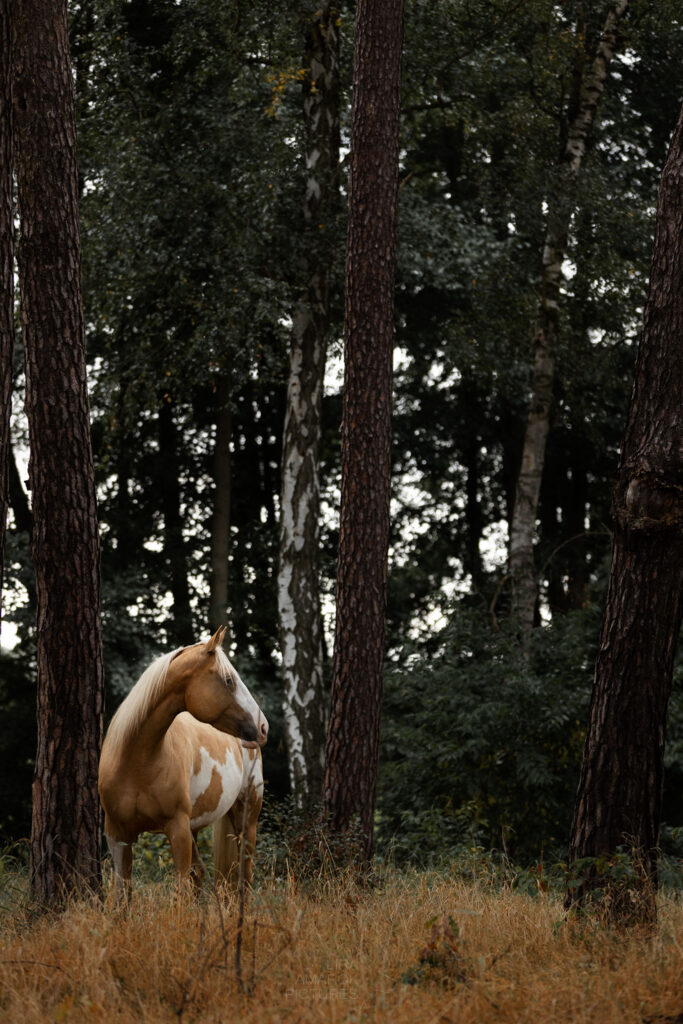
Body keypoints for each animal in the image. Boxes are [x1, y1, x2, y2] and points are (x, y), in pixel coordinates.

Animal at [98, 627, 268, 892]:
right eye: (229, 680)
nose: (263, 727)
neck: (137, 763)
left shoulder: (177, 829)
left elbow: (180, 890)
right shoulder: (116, 834)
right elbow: (123, 890)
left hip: (246, 820)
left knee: (244, 878)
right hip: (196, 828)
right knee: (200, 875)